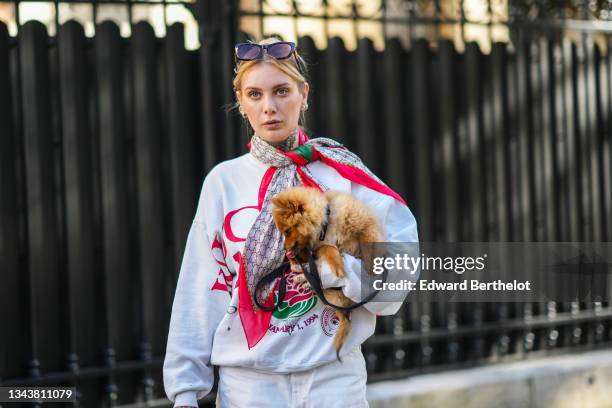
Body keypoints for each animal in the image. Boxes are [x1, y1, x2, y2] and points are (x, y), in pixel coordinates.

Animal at [272, 186, 384, 358]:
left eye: (287, 231)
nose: (285, 250)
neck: (328, 224)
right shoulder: (319, 247)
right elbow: (330, 248)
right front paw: (338, 267)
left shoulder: (365, 223)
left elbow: (369, 240)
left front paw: (372, 265)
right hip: (332, 295)